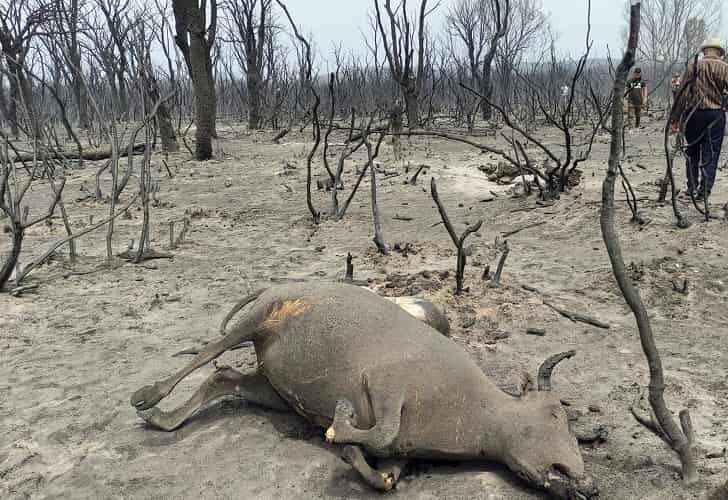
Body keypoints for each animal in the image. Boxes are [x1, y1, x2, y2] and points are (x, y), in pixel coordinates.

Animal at [131, 284, 596, 498]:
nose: (588, 485)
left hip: (273, 388)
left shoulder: (402, 451)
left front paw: (352, 453)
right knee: (210, 351)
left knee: (223, 377)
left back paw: (165, 419)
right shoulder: (388, 384)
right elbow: (381, 428)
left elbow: (385, 475)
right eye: (555, 414)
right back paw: (148, 398)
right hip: (258, 319)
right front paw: (339, 428)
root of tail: (277, 286)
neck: (480, 411)